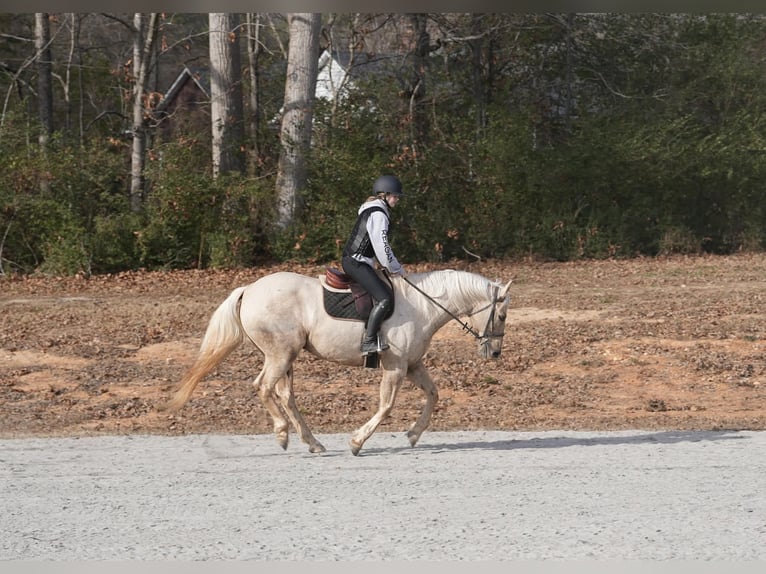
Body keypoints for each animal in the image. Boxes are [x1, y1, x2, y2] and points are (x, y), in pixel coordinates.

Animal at [164, 268, 513, 455]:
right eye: (502, 315)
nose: (495, 353)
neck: (422, 305)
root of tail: (249, 289)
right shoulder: (396, 367)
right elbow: (386, 406)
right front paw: (357, 442)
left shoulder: (412, 365)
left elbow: (433, 394)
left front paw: (414, 434)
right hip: (280, 353)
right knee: (263, 387)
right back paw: (282, 433)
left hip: (285, 356)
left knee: (285, 395)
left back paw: (312, 442)